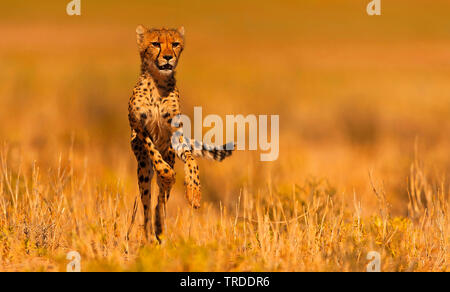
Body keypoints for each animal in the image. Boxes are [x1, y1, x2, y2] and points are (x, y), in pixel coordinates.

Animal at [126, 26, 232, 243]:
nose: (168, 57)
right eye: (155, 43)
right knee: (148, 203)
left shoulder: (176, 135)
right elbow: (157, 158)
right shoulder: (140, 127)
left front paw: (194, 193)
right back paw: (149, 233)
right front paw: (168, 175)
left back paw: (159, 226)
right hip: (143, 169)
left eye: (175, 44)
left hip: (169, 156)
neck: (158, 83)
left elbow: (192, 160)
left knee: (160, 201)